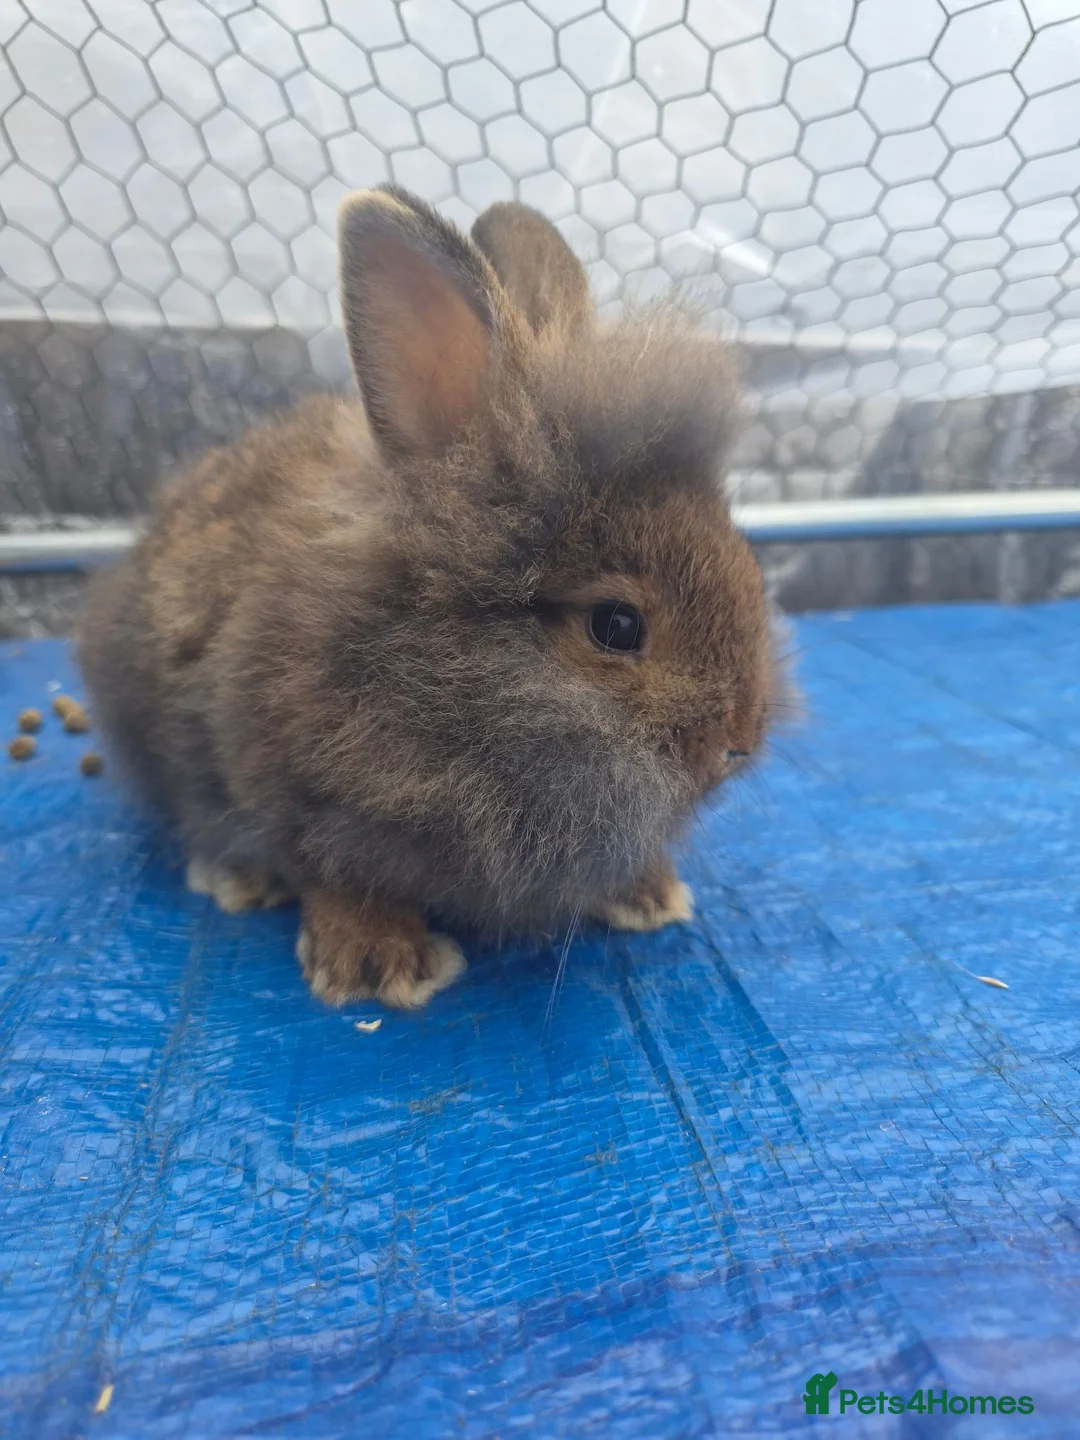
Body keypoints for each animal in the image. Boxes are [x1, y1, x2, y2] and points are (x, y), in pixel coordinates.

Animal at [78, 186, 780, 1010]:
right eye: (616, 625)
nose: (739, 742)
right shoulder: (281, 779)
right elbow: (332, 872)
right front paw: (377, 964)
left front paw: (649, 895)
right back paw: (239, 878)